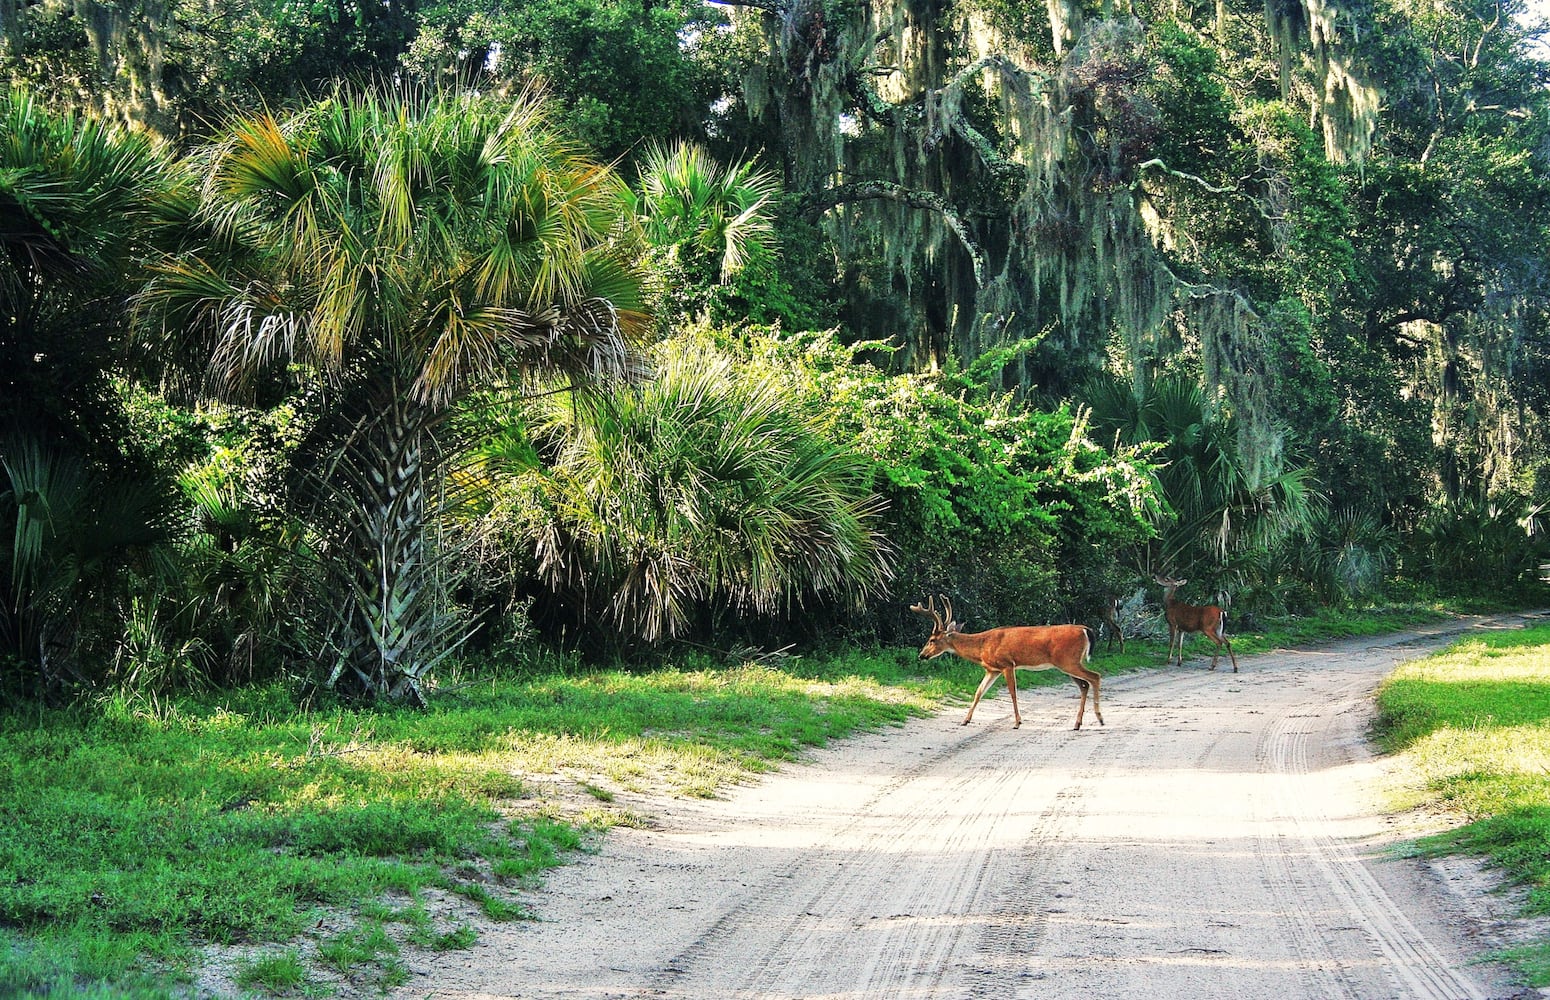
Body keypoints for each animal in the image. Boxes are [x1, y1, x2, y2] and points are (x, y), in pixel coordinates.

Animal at [905, 595, 1103, 728]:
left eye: (932, 640)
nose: (921, 655)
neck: (981, 646)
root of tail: (1085, 629)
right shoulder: (992, 669)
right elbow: (978, 692)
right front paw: (965, 720)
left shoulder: (1007, 664)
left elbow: (1012, 693)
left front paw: (1017, 722)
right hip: (1066, 664)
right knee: (1084, 684)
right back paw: (1078, 723)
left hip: (1068, 661)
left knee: (1095, 677)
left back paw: (1099, 718)